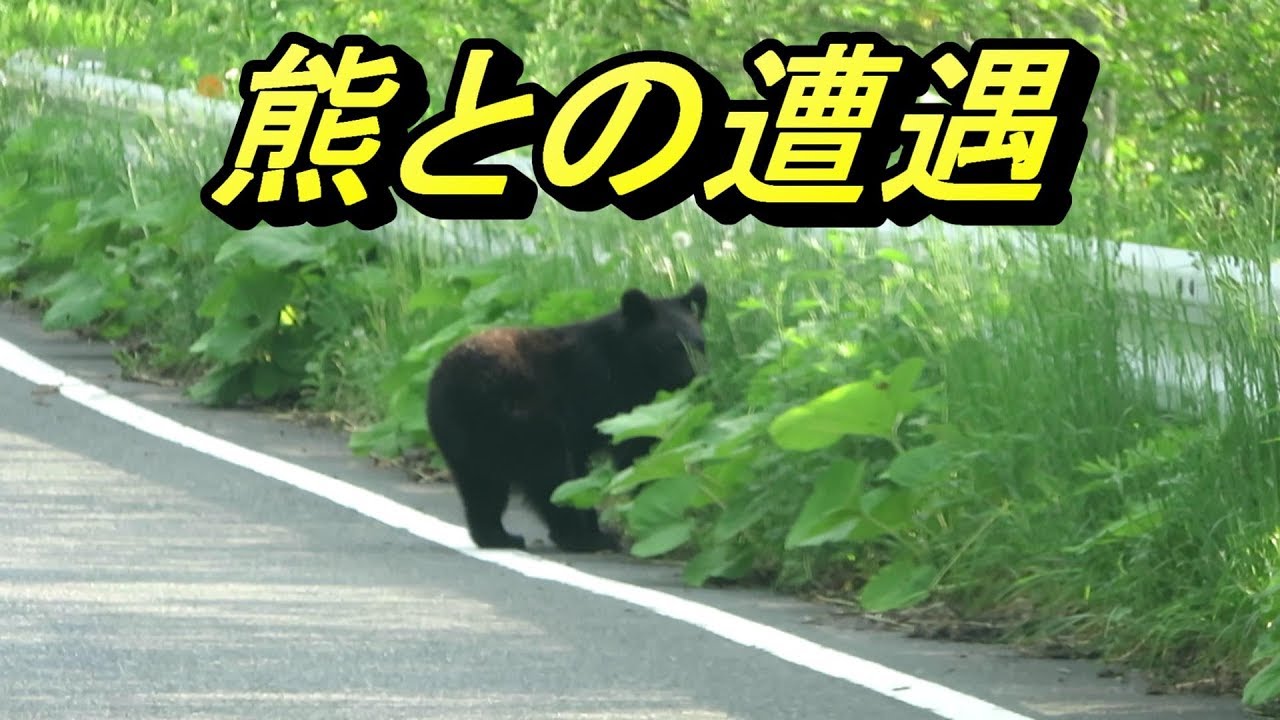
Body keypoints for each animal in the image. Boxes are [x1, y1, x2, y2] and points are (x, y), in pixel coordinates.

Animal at [425, 282, 709, 552]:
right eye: (672, 346)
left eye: (700, 344)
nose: (695, 376)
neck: (628, 360)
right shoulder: (605, 394)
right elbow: (635, 451)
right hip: (523, 420)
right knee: (549, 476)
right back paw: (581, 538)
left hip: (466, 440)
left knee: (483, 489)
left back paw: (499, 536)